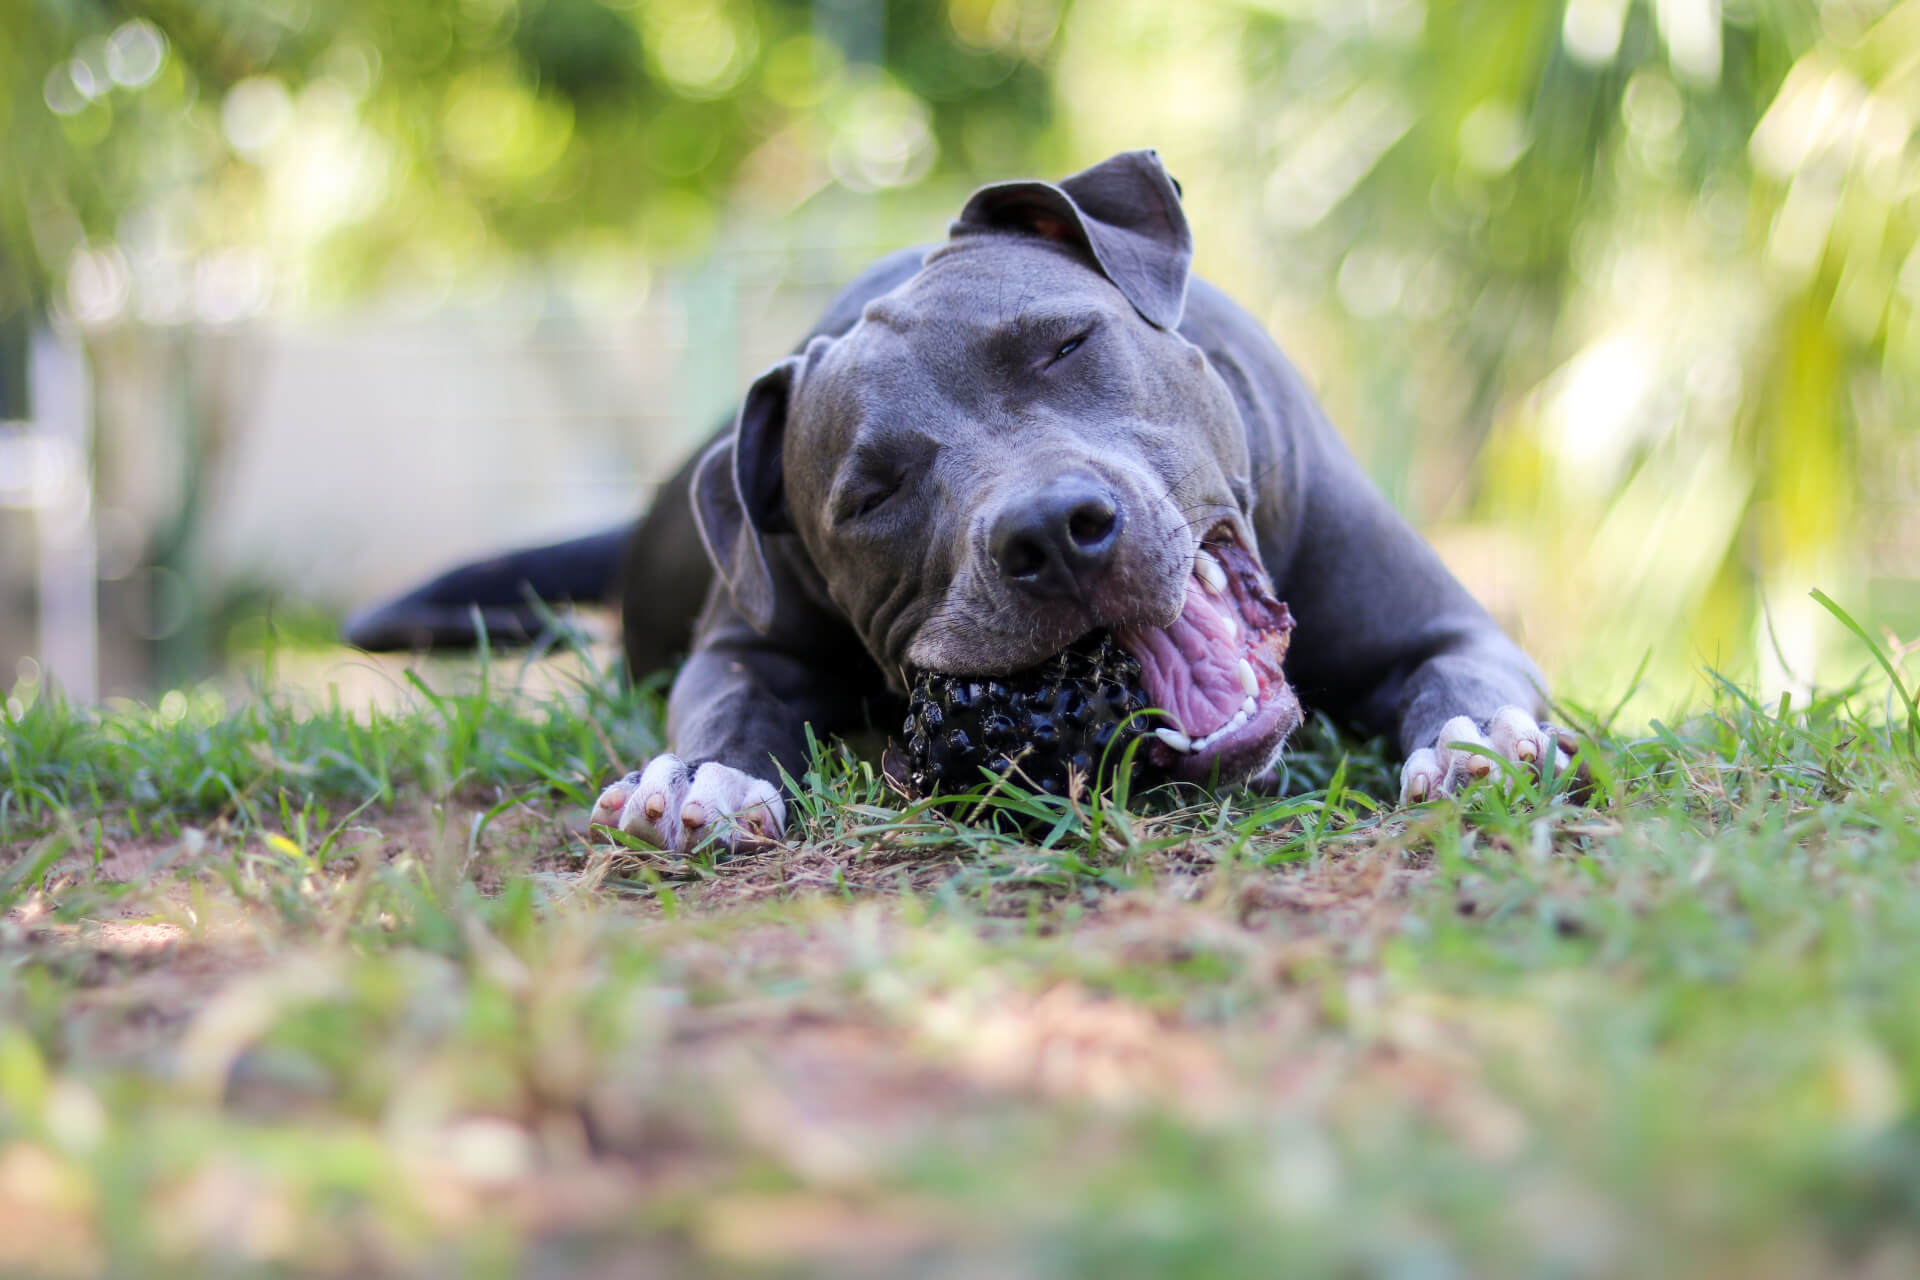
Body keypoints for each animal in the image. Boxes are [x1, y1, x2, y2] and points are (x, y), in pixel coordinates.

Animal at [353, 150, 1566, 852]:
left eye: (1067, 343)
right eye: (871, 495)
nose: (1053, 533)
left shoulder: (1439, 624)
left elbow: (1464, 672)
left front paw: (1479, 737)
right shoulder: (745, 645)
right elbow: (726, 707)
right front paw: (698, 775)